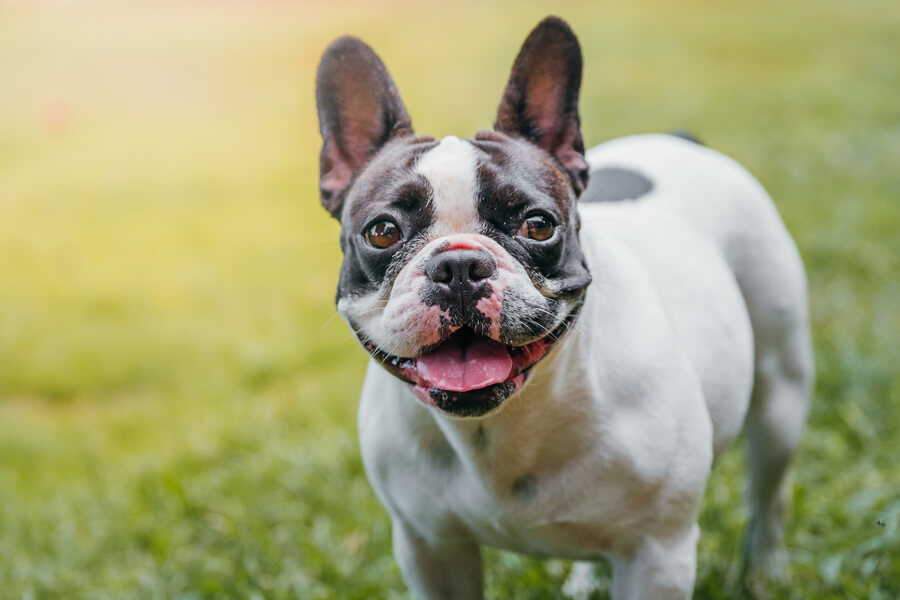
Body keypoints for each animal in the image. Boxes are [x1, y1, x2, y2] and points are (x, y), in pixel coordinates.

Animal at [312, 16, 812, 596]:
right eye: (383, 232)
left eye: (538, 225)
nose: (458, 266)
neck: (501, 426)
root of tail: (679, 140)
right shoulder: (430, 548)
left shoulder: (659, 553)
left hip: (780, 392)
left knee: (769, 492)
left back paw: (764, 572)